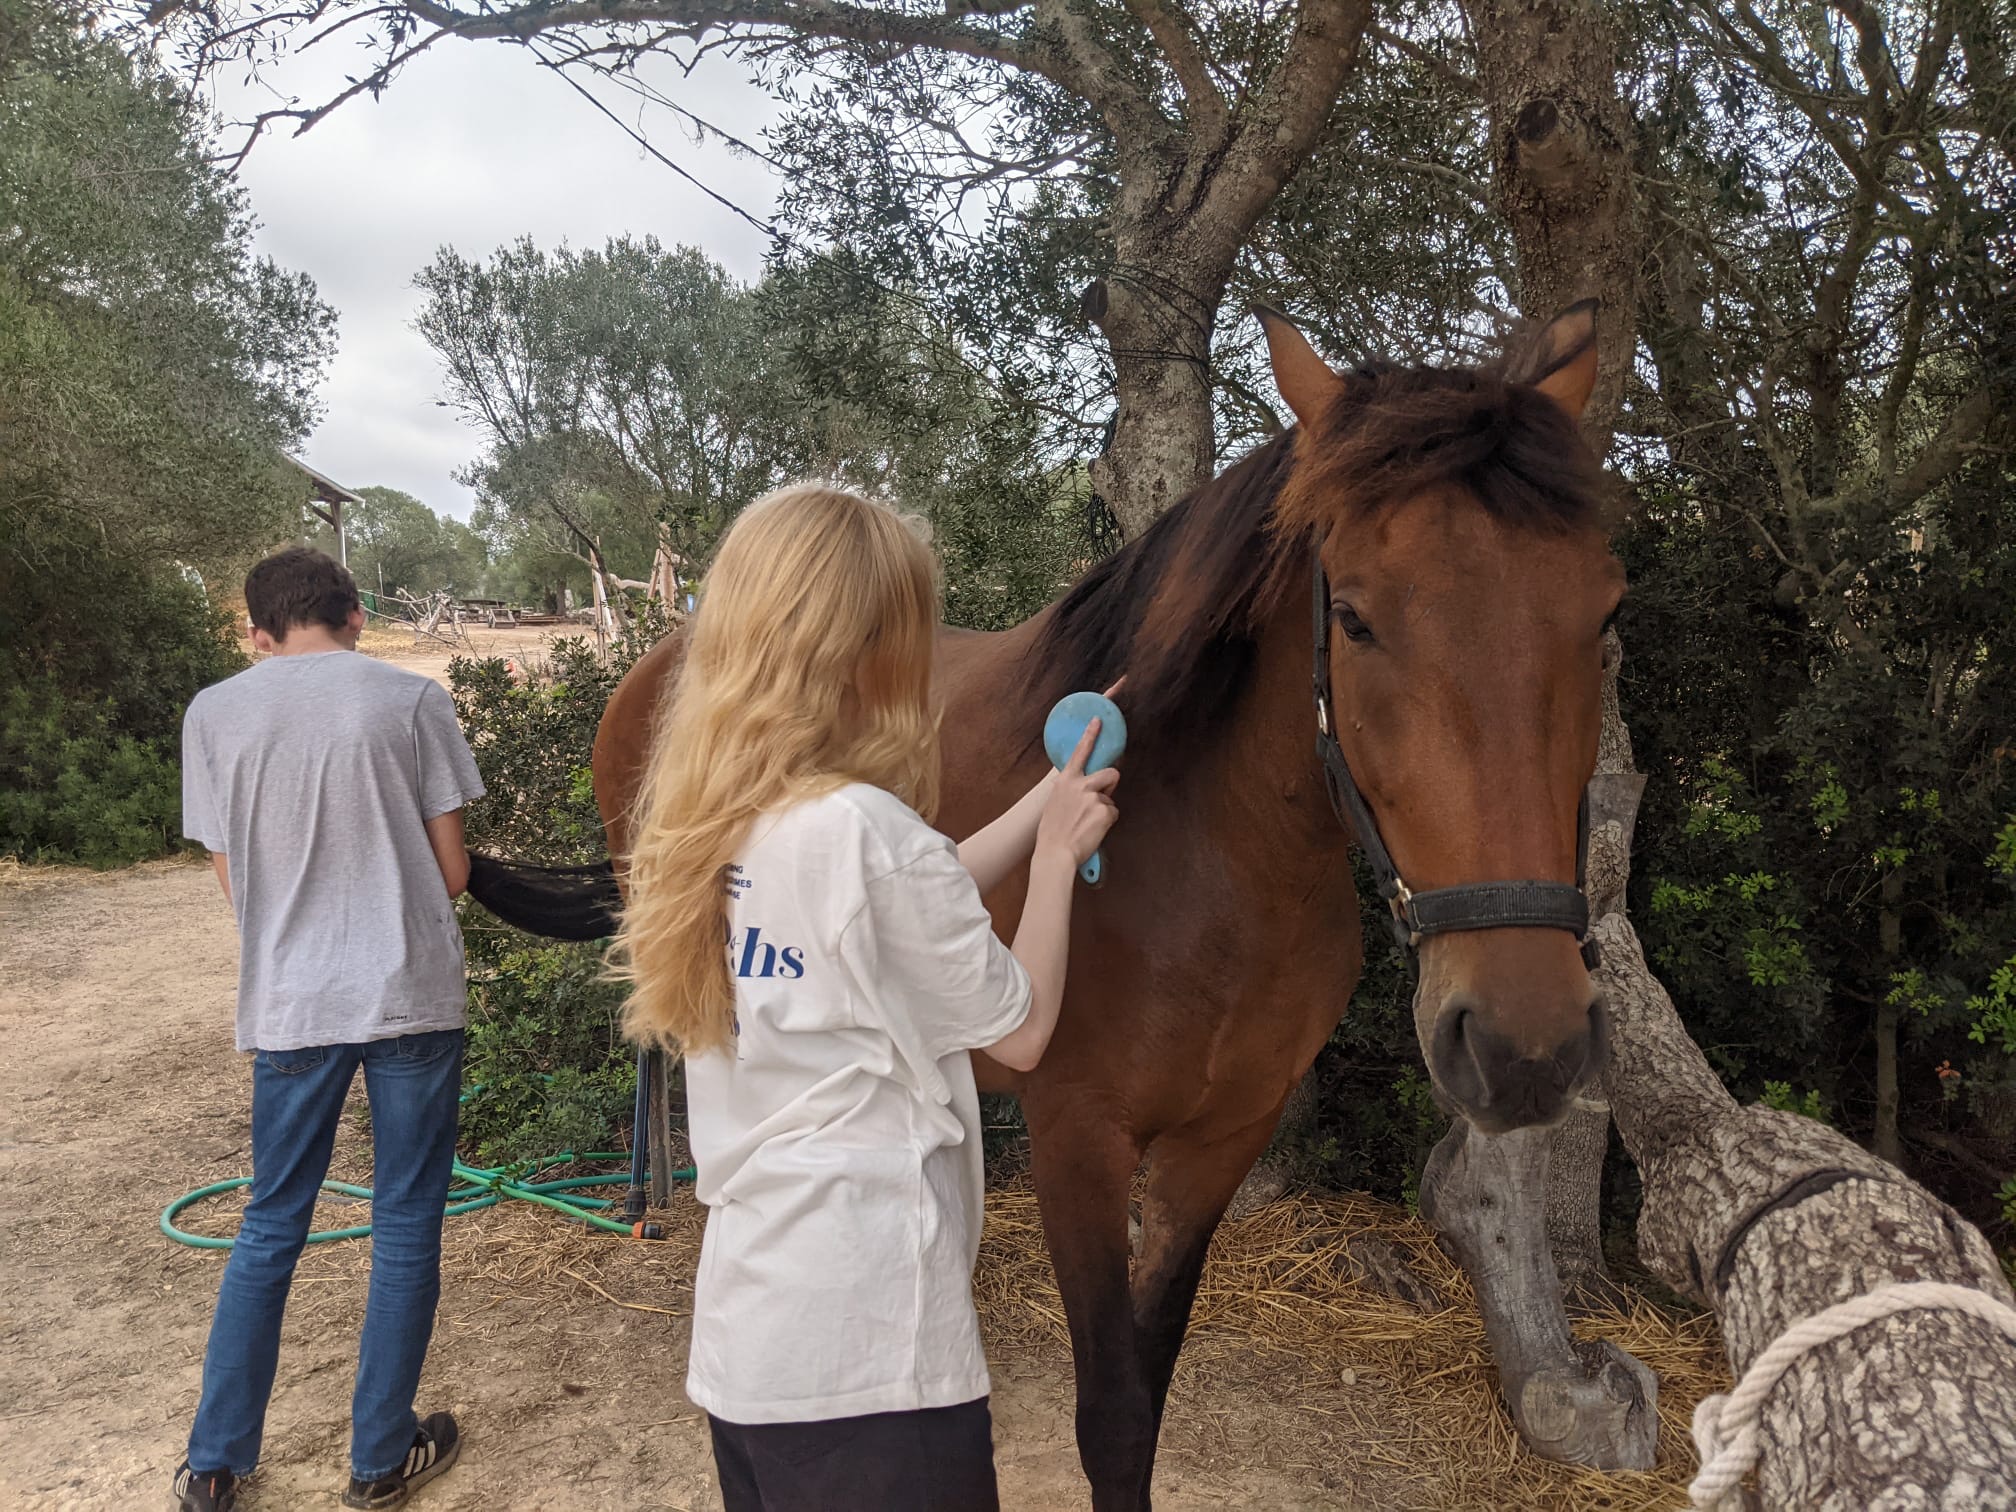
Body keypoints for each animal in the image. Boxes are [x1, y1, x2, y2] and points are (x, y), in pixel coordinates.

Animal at [467, 302, 1620, 1507]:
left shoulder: (1219, 1143)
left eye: (1604, 617)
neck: (1209, 863)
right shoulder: (1082, 1139)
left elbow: (1151, 1383)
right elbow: (1110, 1415)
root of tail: (669, 649)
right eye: (1351, 618)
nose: (1526, 1046)